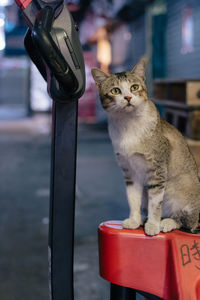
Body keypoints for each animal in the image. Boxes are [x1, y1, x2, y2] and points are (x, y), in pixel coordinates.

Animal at [90, 58, 200, 236]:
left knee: (185, 221)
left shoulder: (157, 169)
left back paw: (166, 222)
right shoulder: (130, 171)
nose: (128, 97)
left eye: (134, 87)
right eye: (115, 90)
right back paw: (143, 219)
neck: (128, 125)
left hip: (181, 186)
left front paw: (153, 224)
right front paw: (134, 220)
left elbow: (155, 202)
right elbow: (133, 198)